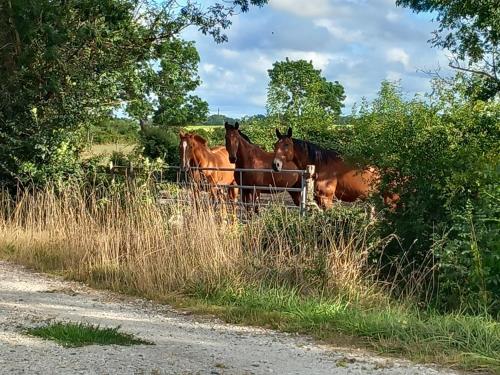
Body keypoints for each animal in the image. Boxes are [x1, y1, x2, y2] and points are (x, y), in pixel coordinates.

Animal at [270, 128, 398, 210]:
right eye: (275, 145)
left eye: (287, 145)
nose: (276, 164)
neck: (321, 165)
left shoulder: (326, 199)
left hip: (392, 199)